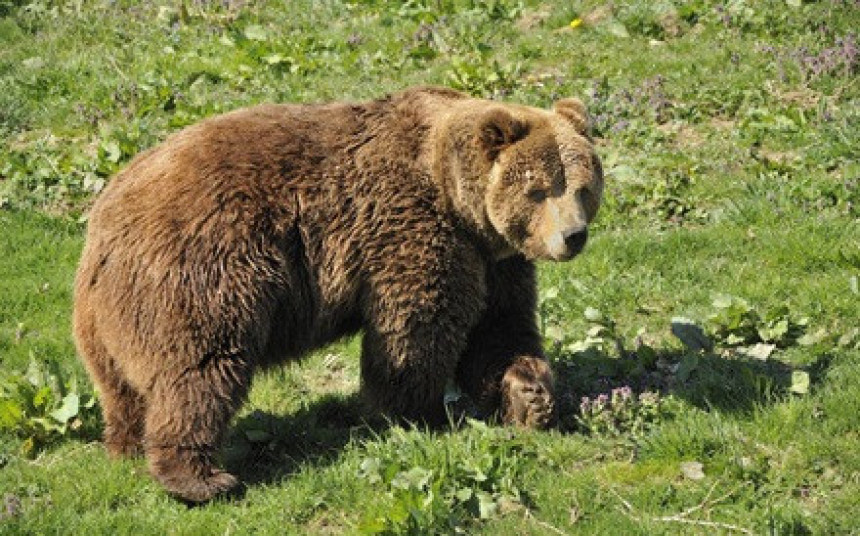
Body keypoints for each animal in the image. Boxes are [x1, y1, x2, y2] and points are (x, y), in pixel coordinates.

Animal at [74, 85, 604, 502]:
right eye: (539, 190)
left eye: (581, 186)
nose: (572, 236)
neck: (459, 202)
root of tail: (103, 221)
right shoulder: (413, 229)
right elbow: (415, 331)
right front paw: (419, 416)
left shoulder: (496, 260)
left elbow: (499, 328)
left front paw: (530, 395)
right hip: (203, 269)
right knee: (200, 367)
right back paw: (200, 479)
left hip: (107, 318)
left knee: (123, 387)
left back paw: (125, 447)